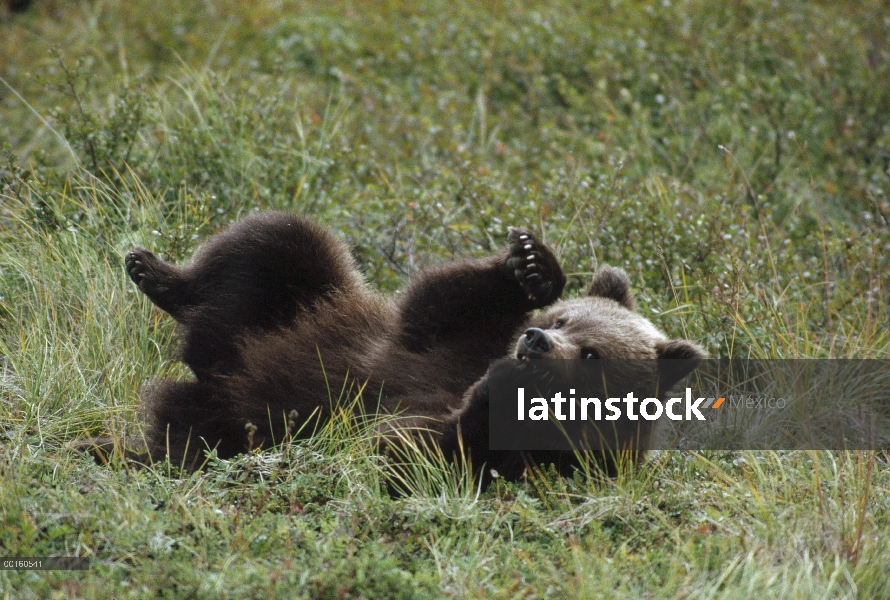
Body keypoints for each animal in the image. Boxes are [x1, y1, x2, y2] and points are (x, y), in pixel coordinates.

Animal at [86, 211, 704, 482]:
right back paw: (152, 270)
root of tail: (205, 383)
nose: (535, 342)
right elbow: (435, 305)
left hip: (225, 427)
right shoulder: (442, 345)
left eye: (594, 355)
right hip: (300, 303)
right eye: (564, 318)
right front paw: (532, 264)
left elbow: (412, 449)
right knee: (274, 240)